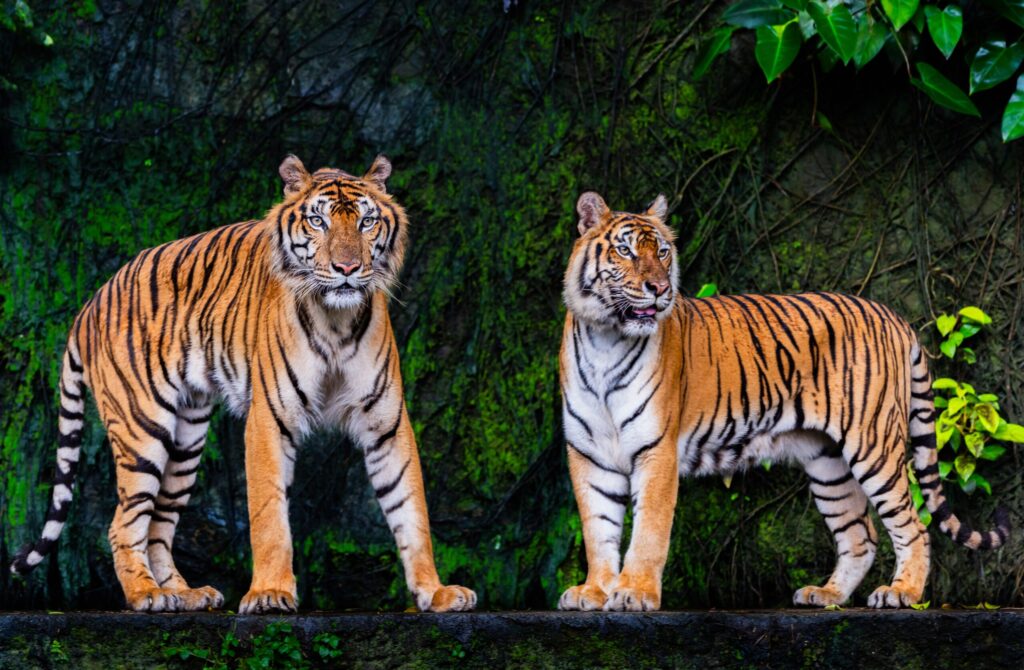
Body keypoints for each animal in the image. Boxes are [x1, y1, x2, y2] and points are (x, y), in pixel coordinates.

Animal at [10, 154, 477, 615]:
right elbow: (269, 513)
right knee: (123, 521)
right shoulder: (270, 418)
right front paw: (270, 593)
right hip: (143, 427)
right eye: (318, 221)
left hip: (186, 440)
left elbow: (410, 508)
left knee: (158, 523)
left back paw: (184, 595)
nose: (347, 269)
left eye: (366, 222)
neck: (336, 321)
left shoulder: (387, 423)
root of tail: (92, 300)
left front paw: (435, 591)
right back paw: (145, 594)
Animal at [557, 191, 1009, 611]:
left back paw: (901, 593)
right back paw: (826, 594)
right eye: (626, 250)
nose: (660, 289)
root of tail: (894, 316)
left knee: (912, 524)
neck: (606, 339)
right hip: (827, 462)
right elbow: (597, 530)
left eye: (663, 252)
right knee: (861, 534)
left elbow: (648, 531)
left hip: (874, 445)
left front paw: (634, 593)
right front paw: (594, 592)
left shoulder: (656, 451)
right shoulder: (589, 454)